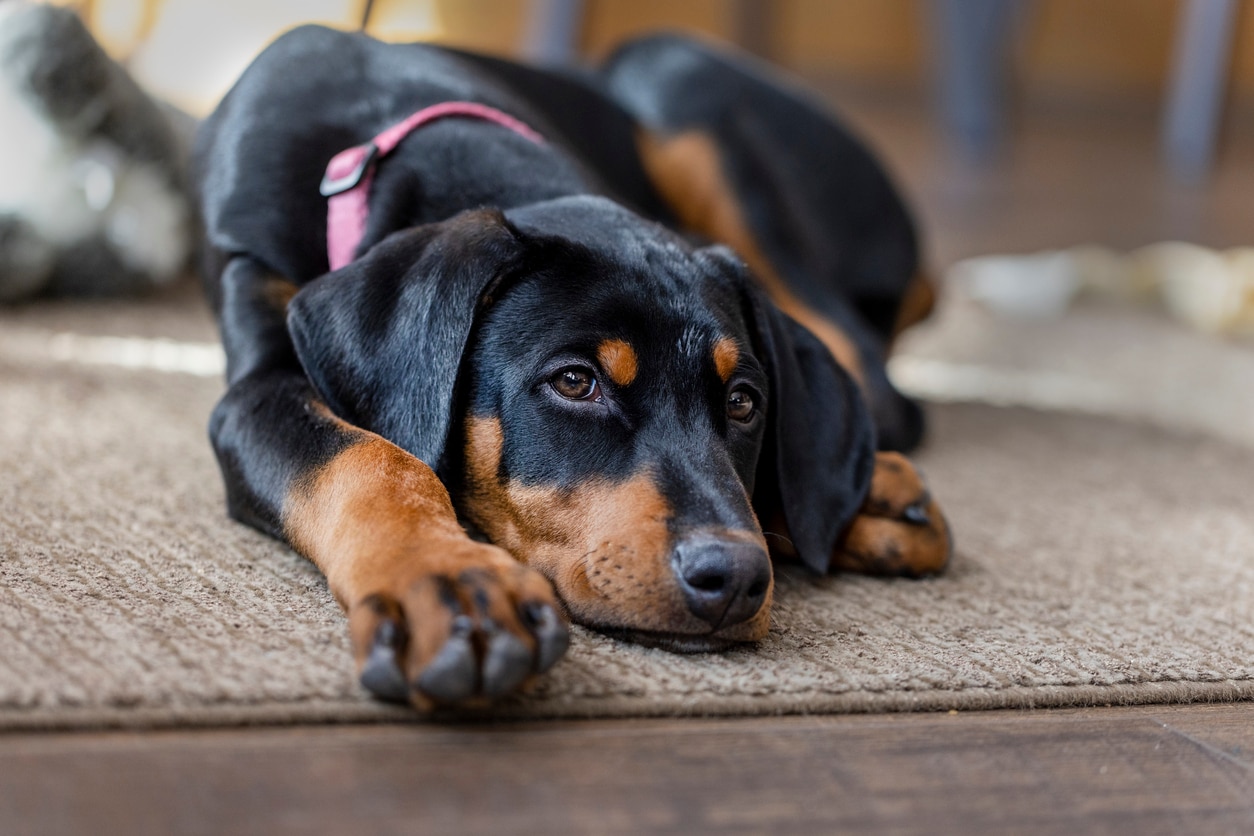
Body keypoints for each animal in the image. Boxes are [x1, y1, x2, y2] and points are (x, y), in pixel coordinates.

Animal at [190, 26, 943, 711]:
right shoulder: (255, 379)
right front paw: (450, 586)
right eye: (575, 382)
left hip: (675, 76)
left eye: (743, 402)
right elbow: (368, 457)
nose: (731, 577)